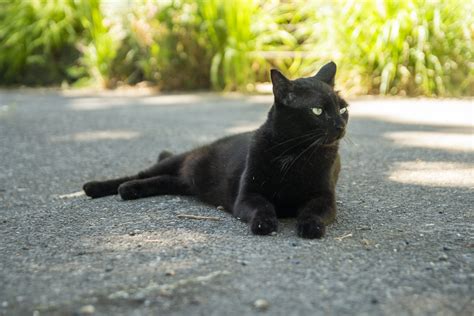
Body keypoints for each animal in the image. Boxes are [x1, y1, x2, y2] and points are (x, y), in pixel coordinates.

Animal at [83, 61, 348, 238]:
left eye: (343, 108)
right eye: (318, 111)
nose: (340, 124)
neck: (295, 154)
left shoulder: (324, 198)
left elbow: (313, 211)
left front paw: (310, 227)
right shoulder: (247, 195)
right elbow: (263, 206)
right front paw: (264, 224)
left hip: (183, 182)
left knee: (160, 181)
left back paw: (129, 190)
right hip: (176, 161)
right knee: (141, 173)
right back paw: (97, 187)